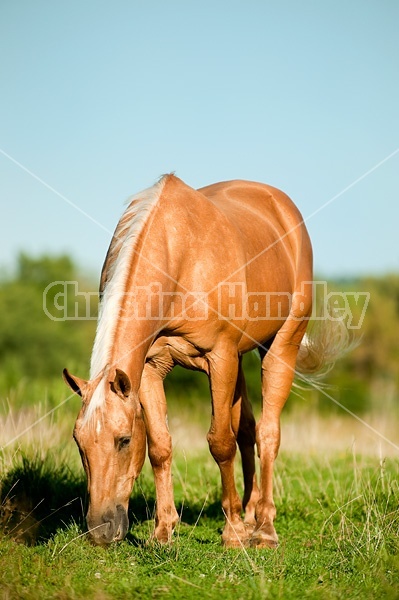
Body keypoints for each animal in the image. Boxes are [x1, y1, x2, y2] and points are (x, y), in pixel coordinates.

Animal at [65, 175, 340, 548]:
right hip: (240, 359)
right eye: (79, 444)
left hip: (280, 347)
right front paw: (163, 531)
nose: (101, 531)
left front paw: (233, 532)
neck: (178, 254)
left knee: (268, 433)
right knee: (248, 429)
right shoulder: (149, 368)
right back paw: (250, 514)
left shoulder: (219, 357)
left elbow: (220, 442)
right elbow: (161, 446)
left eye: (123, 440)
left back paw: (264, 528)